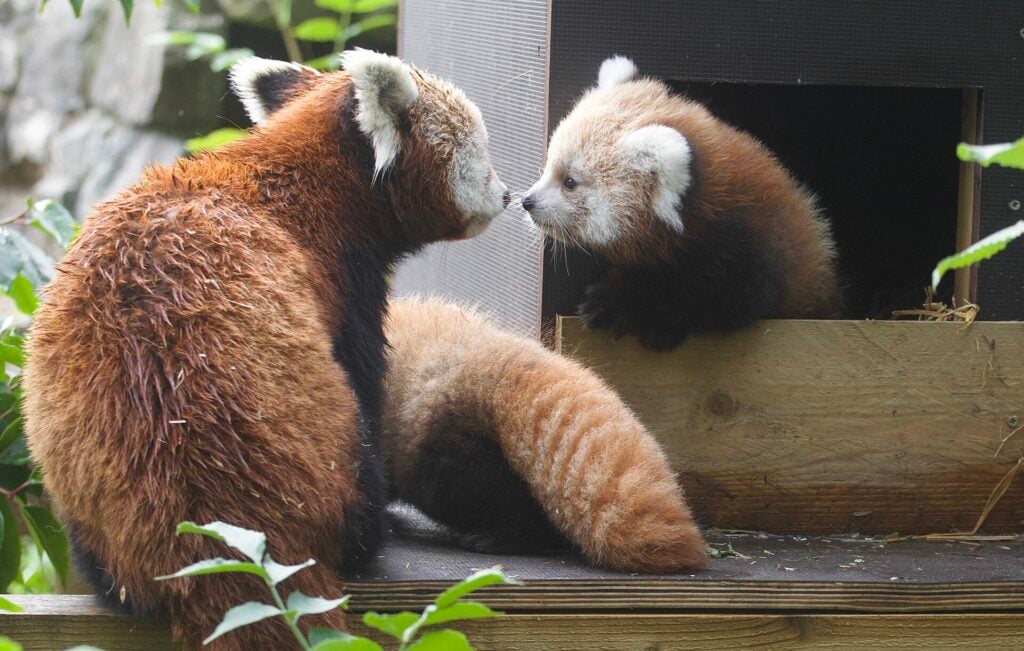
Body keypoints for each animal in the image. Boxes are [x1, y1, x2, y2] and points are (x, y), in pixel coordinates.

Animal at [27, 52, 512, 651]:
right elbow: (363, 370)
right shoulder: (345, 282)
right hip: (327, 452)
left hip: (84, 487)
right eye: (481, 156)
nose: (508, 194)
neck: (308, 177)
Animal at [520, 56, 839, 350]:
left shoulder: (751, 257)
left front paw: (623, 306)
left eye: (569, 182)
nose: (527, 201)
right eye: (549, 167)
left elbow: (712, 301)